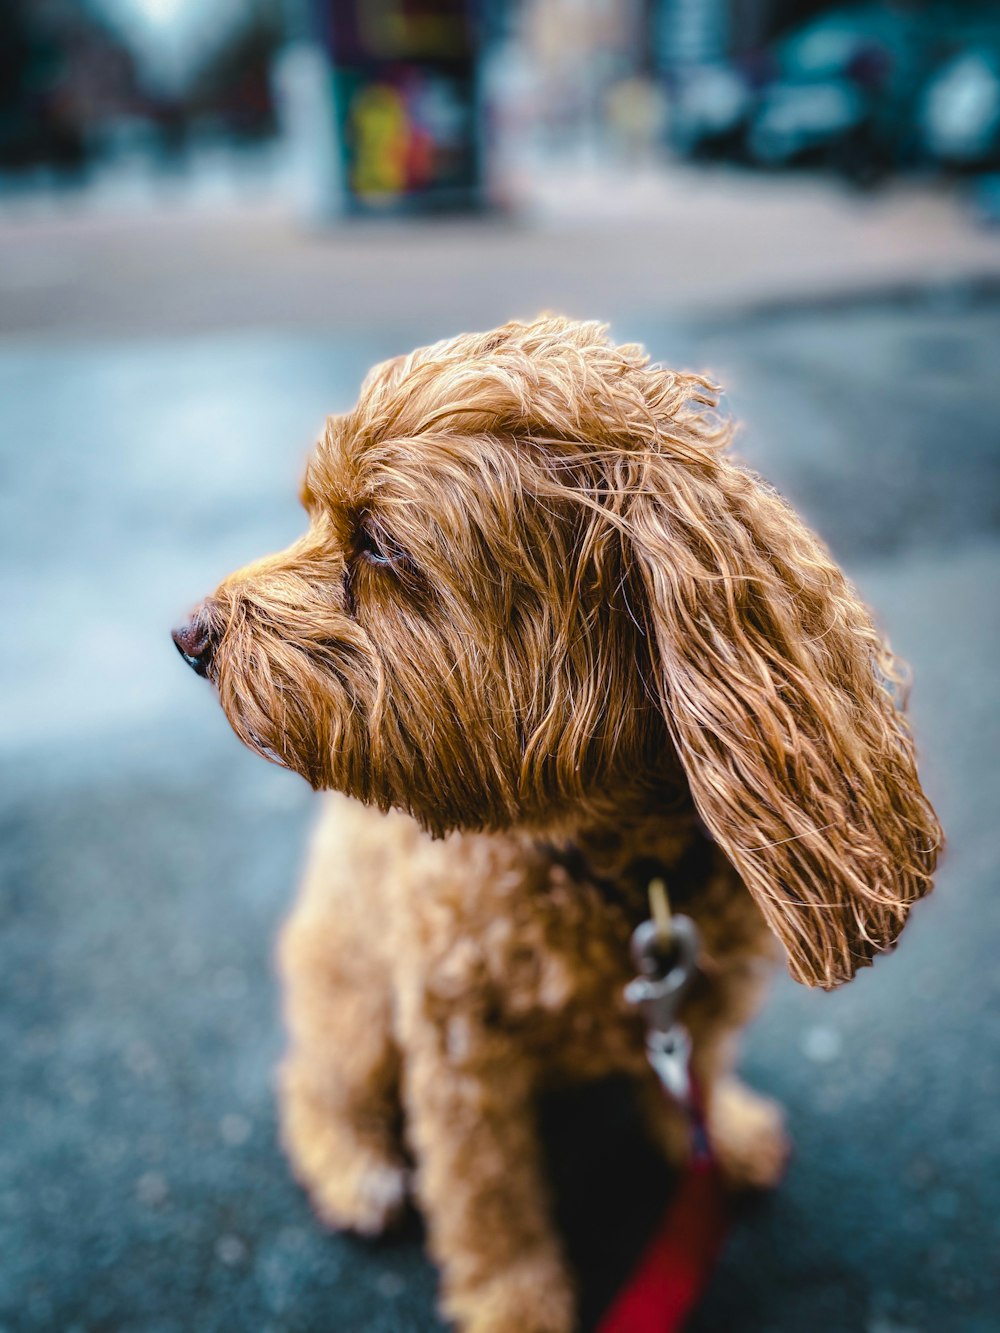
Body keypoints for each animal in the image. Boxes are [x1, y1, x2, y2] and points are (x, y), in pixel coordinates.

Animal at [176, 317, 944, 1327]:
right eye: (317, 515)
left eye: (377, 546)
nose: (189, 634)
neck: (606, 866)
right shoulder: (459, 1051)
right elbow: (491, 1201)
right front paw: (515, 1303)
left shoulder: (693, 996)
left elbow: (693, 1074)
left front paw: (718, 1134)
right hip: (353, 999)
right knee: (315, 1082)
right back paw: (353, 1165)